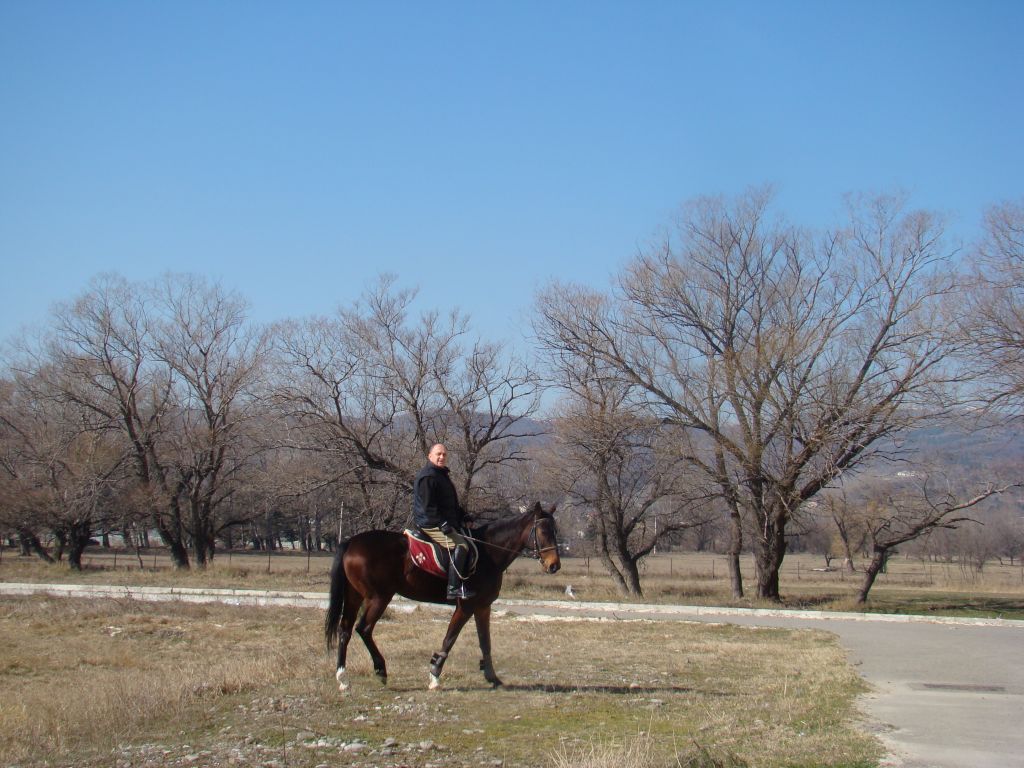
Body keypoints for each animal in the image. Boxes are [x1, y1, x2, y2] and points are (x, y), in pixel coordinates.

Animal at [323, 505, 561, 692]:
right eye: (542, 531)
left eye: (555, 531)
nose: (554, 565)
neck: (487, 553)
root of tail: (352, 542)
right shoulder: (466, 606)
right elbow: (450, 638)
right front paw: (434, 675)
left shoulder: (482, 607)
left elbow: (485, 642)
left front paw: (492, 677)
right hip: (379, 597)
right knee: (363, 628)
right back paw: (380, 670)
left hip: (355, 596)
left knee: (345, 630)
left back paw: (343, 678)